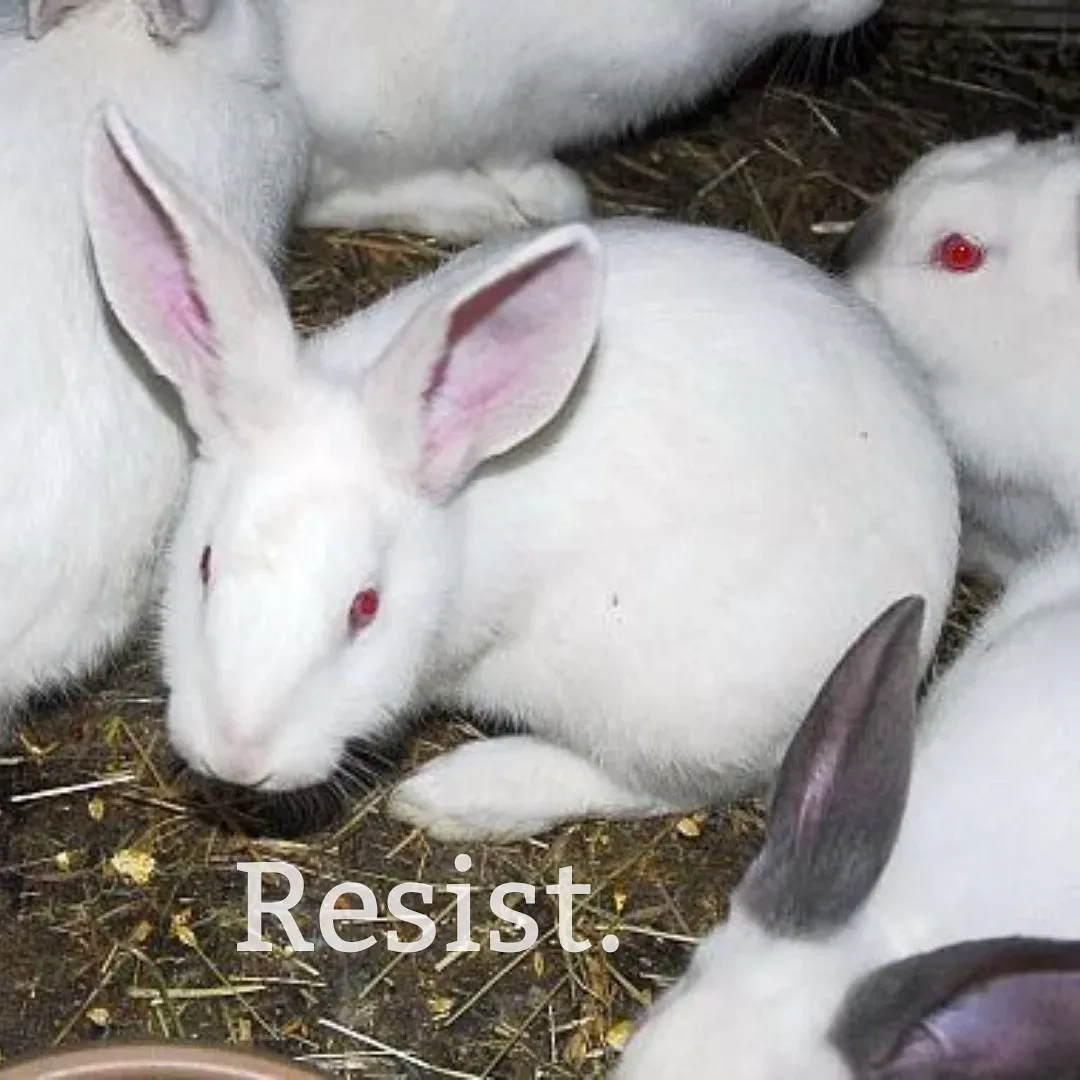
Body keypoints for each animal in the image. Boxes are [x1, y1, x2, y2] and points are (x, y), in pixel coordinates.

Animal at [80, 104, 959, 841]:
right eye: (203, 565)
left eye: (366, 607)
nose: (239, 757)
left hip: (673, 707)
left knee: (670, 785)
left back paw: (458, 796)